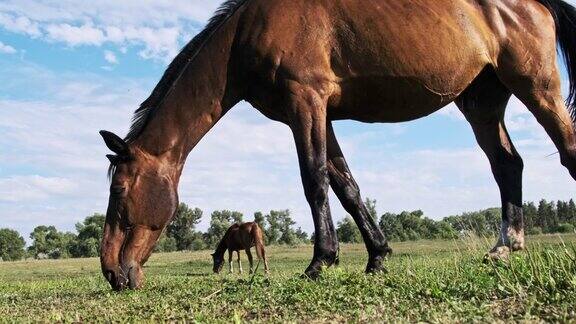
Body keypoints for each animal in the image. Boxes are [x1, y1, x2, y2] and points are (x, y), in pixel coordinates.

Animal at [99, 0, 576, 292]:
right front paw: (377, 256)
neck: (246, 35)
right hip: (482, 103)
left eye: (119, 190)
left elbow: (314, 180)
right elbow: (346, 186)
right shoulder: (320, 115)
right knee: (507, 164)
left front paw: (320, 261)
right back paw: (505, 246)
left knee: (566, 151)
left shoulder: (306, 102)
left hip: (537, 87)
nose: (112, 272)